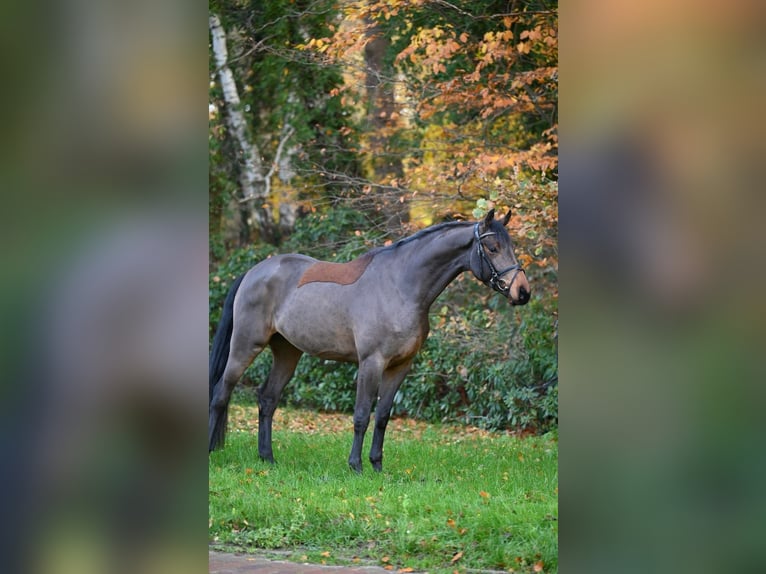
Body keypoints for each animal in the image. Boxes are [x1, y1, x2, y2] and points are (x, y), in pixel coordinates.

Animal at [209, 209, 531, 472]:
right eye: (492, 247)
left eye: (511, 246)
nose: (523, 292)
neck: (401, 286)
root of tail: (254, 272)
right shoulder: (371, 363)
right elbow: (362, 415)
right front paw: (356, 466)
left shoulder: (400, 366)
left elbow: (383, 416)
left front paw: (377, 465)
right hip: (245, 347)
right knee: (221, 393)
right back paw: (214, 451)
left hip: (287, 352)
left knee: (267, 399)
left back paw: (268, 458)